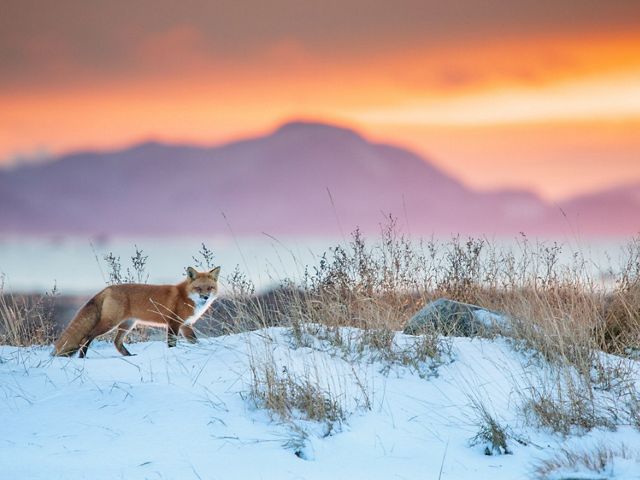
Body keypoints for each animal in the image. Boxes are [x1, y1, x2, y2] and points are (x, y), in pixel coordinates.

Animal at [53, 266, 220, 357]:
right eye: (198, 288)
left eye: (209, 288)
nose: (205, 297)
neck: (185, 296)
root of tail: (107, 289)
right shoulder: (173, 323)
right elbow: (172, 344)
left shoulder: (186, 325)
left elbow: (195, 342)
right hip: (110, 324)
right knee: (86, 338)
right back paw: (82, 358)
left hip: (127, 324)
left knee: (117, 342)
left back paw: (129, 356)